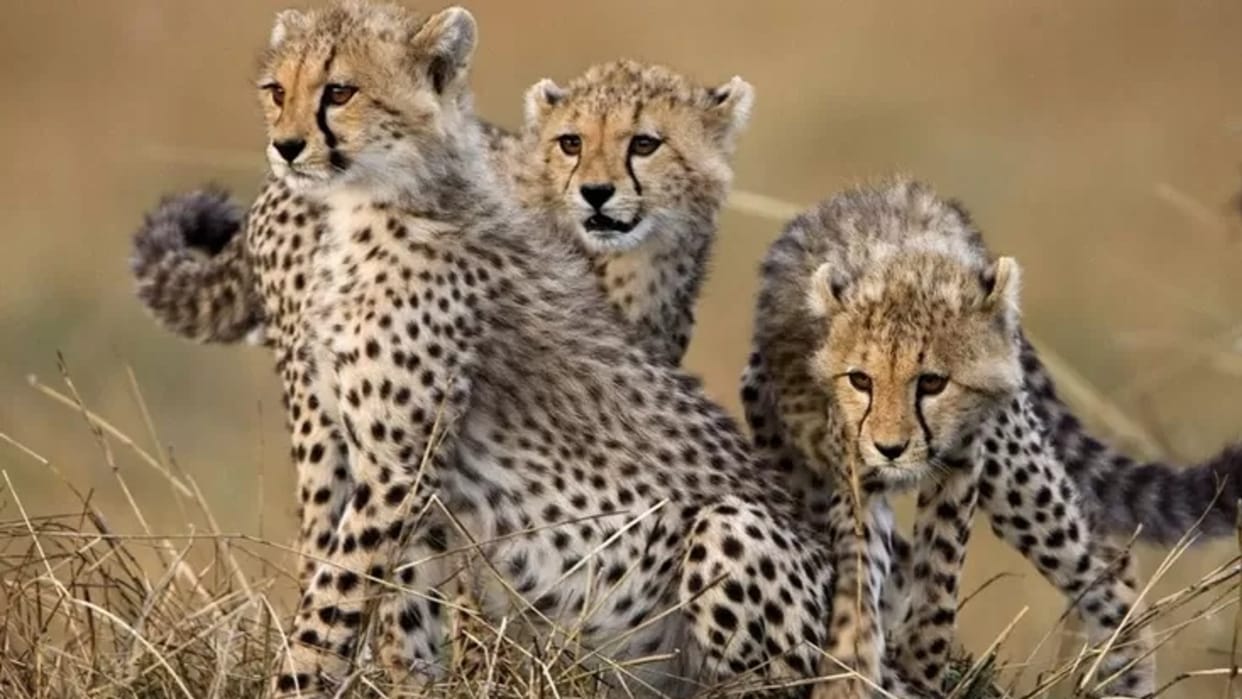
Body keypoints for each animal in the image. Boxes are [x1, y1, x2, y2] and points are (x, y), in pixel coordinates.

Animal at [155, 2, 924, 697]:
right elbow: (396, 604)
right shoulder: (399, 472)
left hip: (732, 532)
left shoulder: (403, 467)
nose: (284, 145)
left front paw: (308, 679)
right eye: (275, 91)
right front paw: (410, 681)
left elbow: (344, 600)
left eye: (339, 91)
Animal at [743, 178, 1242, 696]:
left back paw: (1129, 675)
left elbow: (939, 572)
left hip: (1015, 471)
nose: (890, 448)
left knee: (1105, 560)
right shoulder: (857, 477)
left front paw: (923, 666)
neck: (904, 263)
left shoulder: (964, 460)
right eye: (861, 380)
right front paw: (852, 670)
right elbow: (860, 579)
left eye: (932, 382)